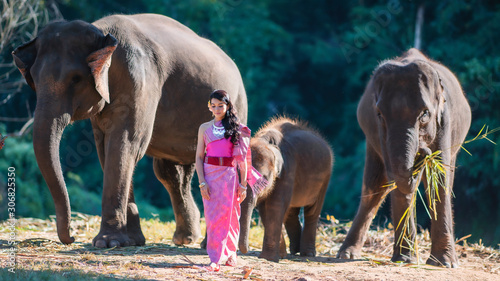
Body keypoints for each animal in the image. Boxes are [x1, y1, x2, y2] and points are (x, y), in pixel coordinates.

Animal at [14, 13, 249, 247]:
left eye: (76, 78)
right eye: (33, 79)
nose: (71, 237)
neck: (102, 33)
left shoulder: (139, 80)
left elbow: (126, 144)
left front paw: (107, 243)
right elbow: (105, 148)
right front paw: (132, 241)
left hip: (239, 104)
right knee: (170, 172)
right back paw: (185, 238)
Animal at [237, 116, 332, 260]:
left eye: (263, 179)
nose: (246, 250)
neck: (266, 141)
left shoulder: (288, 170)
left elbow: (274, 206)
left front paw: (269, 258)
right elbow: (265, 209)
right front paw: (278, 255)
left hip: (325, 178)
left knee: (312, 211)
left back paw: (307, 254)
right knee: (292, 211)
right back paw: (293, 251)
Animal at [338, 48, 470, 266]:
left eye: (425, 114)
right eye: (379, 114)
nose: (423, 152)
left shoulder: (444, 122)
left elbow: (439, 179)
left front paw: (443, 263)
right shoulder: (380, 132)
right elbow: (395, 178)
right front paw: (404, 259)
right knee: (374, 188)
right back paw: (346, 254)